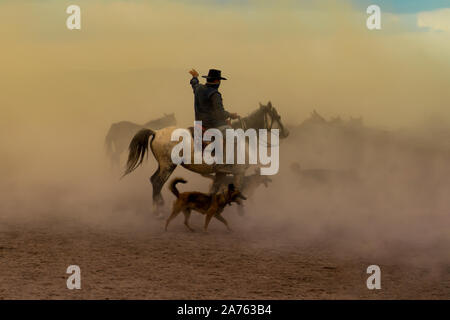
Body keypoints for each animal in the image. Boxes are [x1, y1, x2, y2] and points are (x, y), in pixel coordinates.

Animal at [123, 102, 290, 218]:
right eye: (279, 117)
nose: (287, 133)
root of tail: (156, 132)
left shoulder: (222, 172)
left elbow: (213, 190)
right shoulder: (239, 172)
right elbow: (238, 190)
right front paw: (242, 213)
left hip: (163, 165)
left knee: (153, 180)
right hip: (168, 166)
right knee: (158, 183)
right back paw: (159, 211)